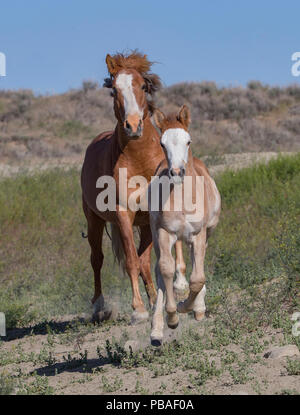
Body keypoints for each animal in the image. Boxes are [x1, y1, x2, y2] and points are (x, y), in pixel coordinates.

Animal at [81, 52, 186, 324]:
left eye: (143, 86)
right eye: (113, 90)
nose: (133, 125)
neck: (139, 160)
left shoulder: (156, 213)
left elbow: (147, 260)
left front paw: (166, 295)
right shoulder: (123, 214)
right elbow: (130, 261)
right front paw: (138, 310)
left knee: (144, 261)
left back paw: (154, 299)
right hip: (94, 220)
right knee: (97, 259)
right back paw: (100, 307)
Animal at [149, 105, 220, 346]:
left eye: (188, 141)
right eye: (162, 143)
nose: (177, 172)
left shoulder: (198, 234)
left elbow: (197, 278)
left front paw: (186, 306)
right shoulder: (164, 232)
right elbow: (165, 270)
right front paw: (171, 317)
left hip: (203, 235)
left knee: (197, 264)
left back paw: (198, 307)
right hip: (157, 237)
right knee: (159, 272)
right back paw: (156, 330)